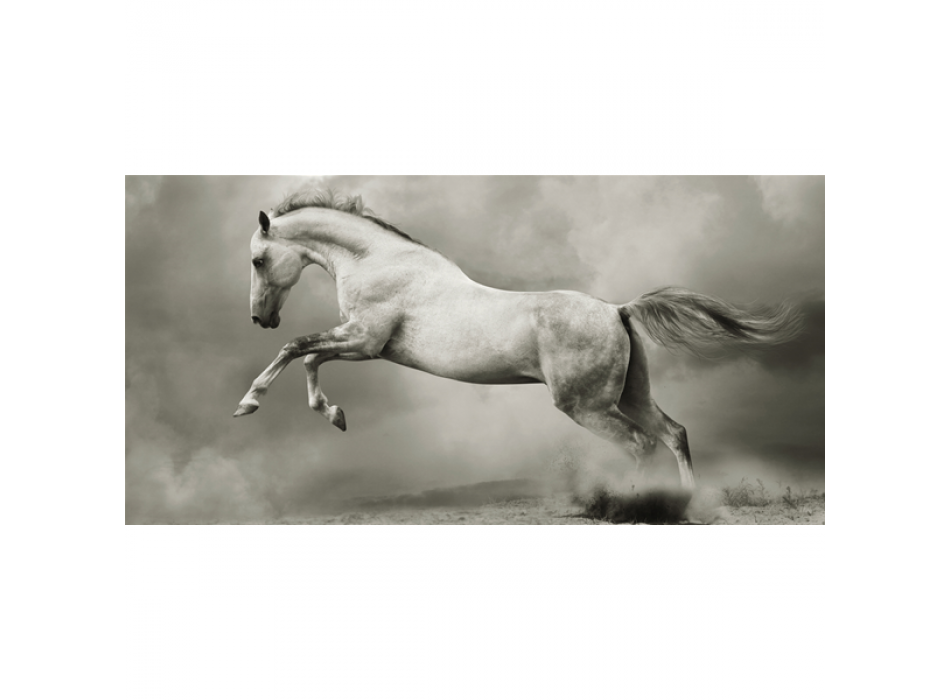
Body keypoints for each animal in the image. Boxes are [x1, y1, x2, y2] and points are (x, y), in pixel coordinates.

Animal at [234, 188, 802, 490]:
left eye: (258, 260)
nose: (260, 319)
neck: (379, 262)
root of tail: (617, 310)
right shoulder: (359, 344)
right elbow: (308, 359)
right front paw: (335, 415)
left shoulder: (364, 341)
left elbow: (297, 350)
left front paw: (248, 403)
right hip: (630, 395)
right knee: (674, 433)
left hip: (587, 406)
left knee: (641, 444)